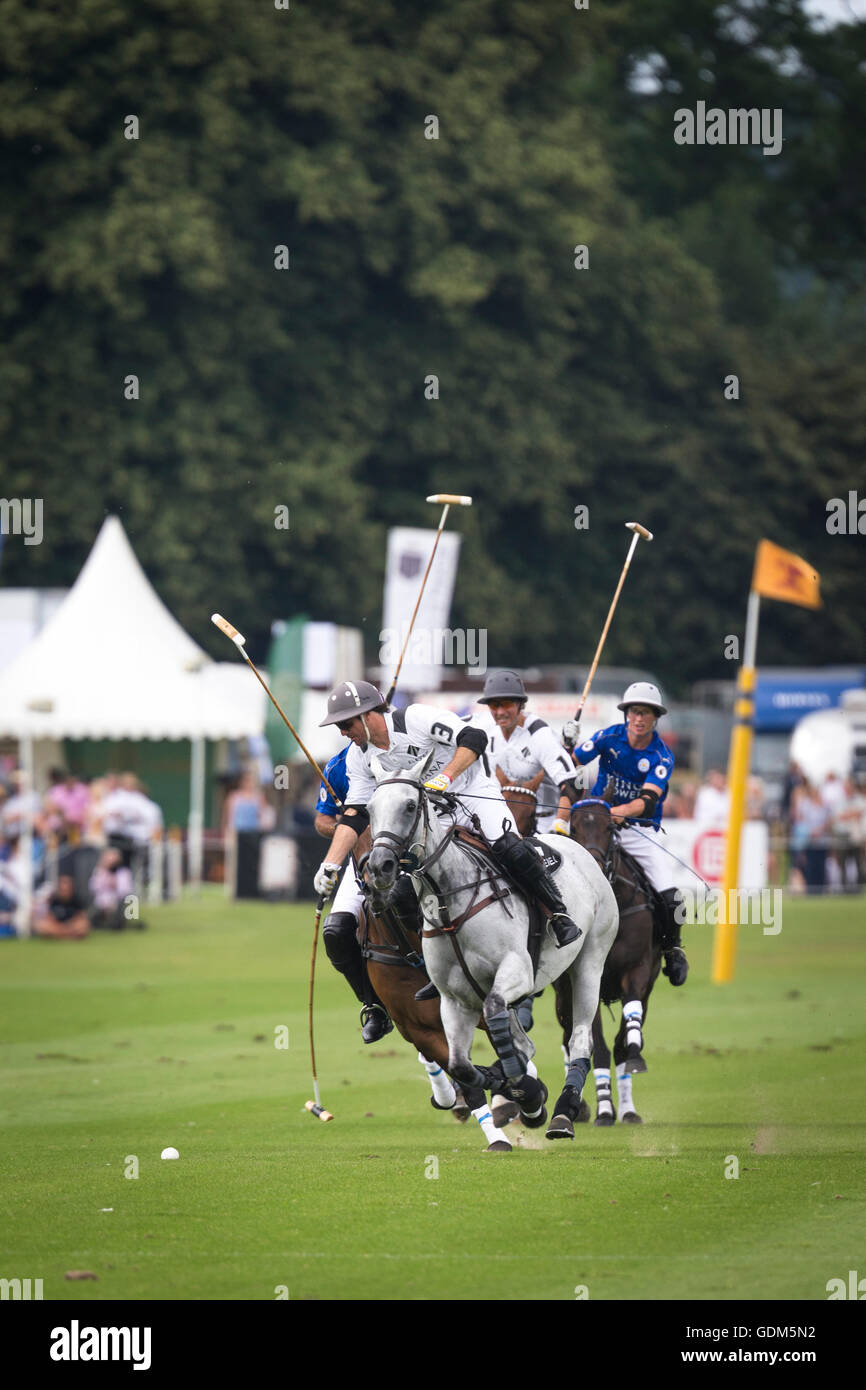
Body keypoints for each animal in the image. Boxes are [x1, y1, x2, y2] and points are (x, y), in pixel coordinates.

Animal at [556, 800, 664, 1123]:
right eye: (574, 827)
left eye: (609, 828)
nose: (591, 867)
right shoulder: (585, 983)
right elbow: (599, 1047)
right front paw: (604, 1109)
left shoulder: (639, 972)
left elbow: (625, 1039)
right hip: (562, 997)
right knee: (569, 1037)